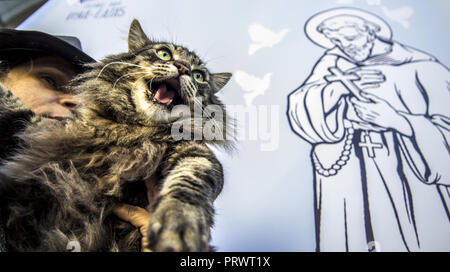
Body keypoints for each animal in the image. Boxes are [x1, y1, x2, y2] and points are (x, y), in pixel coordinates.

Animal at [0, 19, 232, 253]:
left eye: (199, 76)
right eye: (165, 54)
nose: (183, 68)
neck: (132, 127)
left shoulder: (196, 154)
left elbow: (188, 184)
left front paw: (179, 224)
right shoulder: (37, 131)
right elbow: (9, 100)